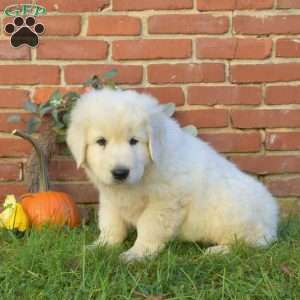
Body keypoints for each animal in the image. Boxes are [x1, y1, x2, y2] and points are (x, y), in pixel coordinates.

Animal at [67, 88, 278, 262]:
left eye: (134, 141)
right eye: (101, 141)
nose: (120, 172)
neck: (145, 171)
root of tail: (272, 222)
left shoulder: (165, 201)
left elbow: (148, 227)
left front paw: (137, 253)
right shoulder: (110, 198)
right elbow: (110, 223)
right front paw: (102, 246)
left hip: (234, 211)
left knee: (248, 244)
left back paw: (219, 251)